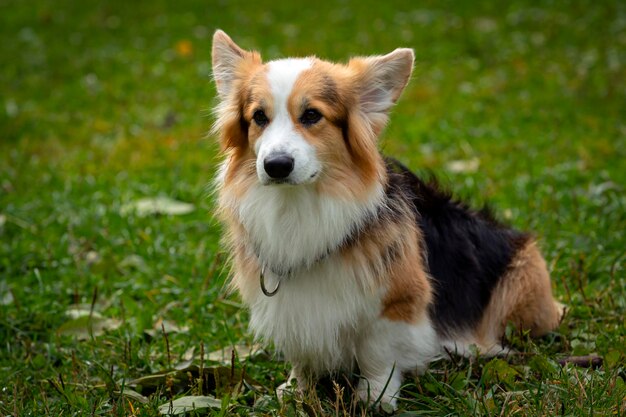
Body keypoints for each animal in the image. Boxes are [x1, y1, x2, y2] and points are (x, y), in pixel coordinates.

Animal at [208, 30, 560, 408]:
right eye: (259, 117)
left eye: (312, 115)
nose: (276, 165)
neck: (299, 204)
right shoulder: (292, 308)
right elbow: (301, 351)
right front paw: (296, 388)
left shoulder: (397, 302)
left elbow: (378, 355)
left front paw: (374, 397)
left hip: (522, 280)